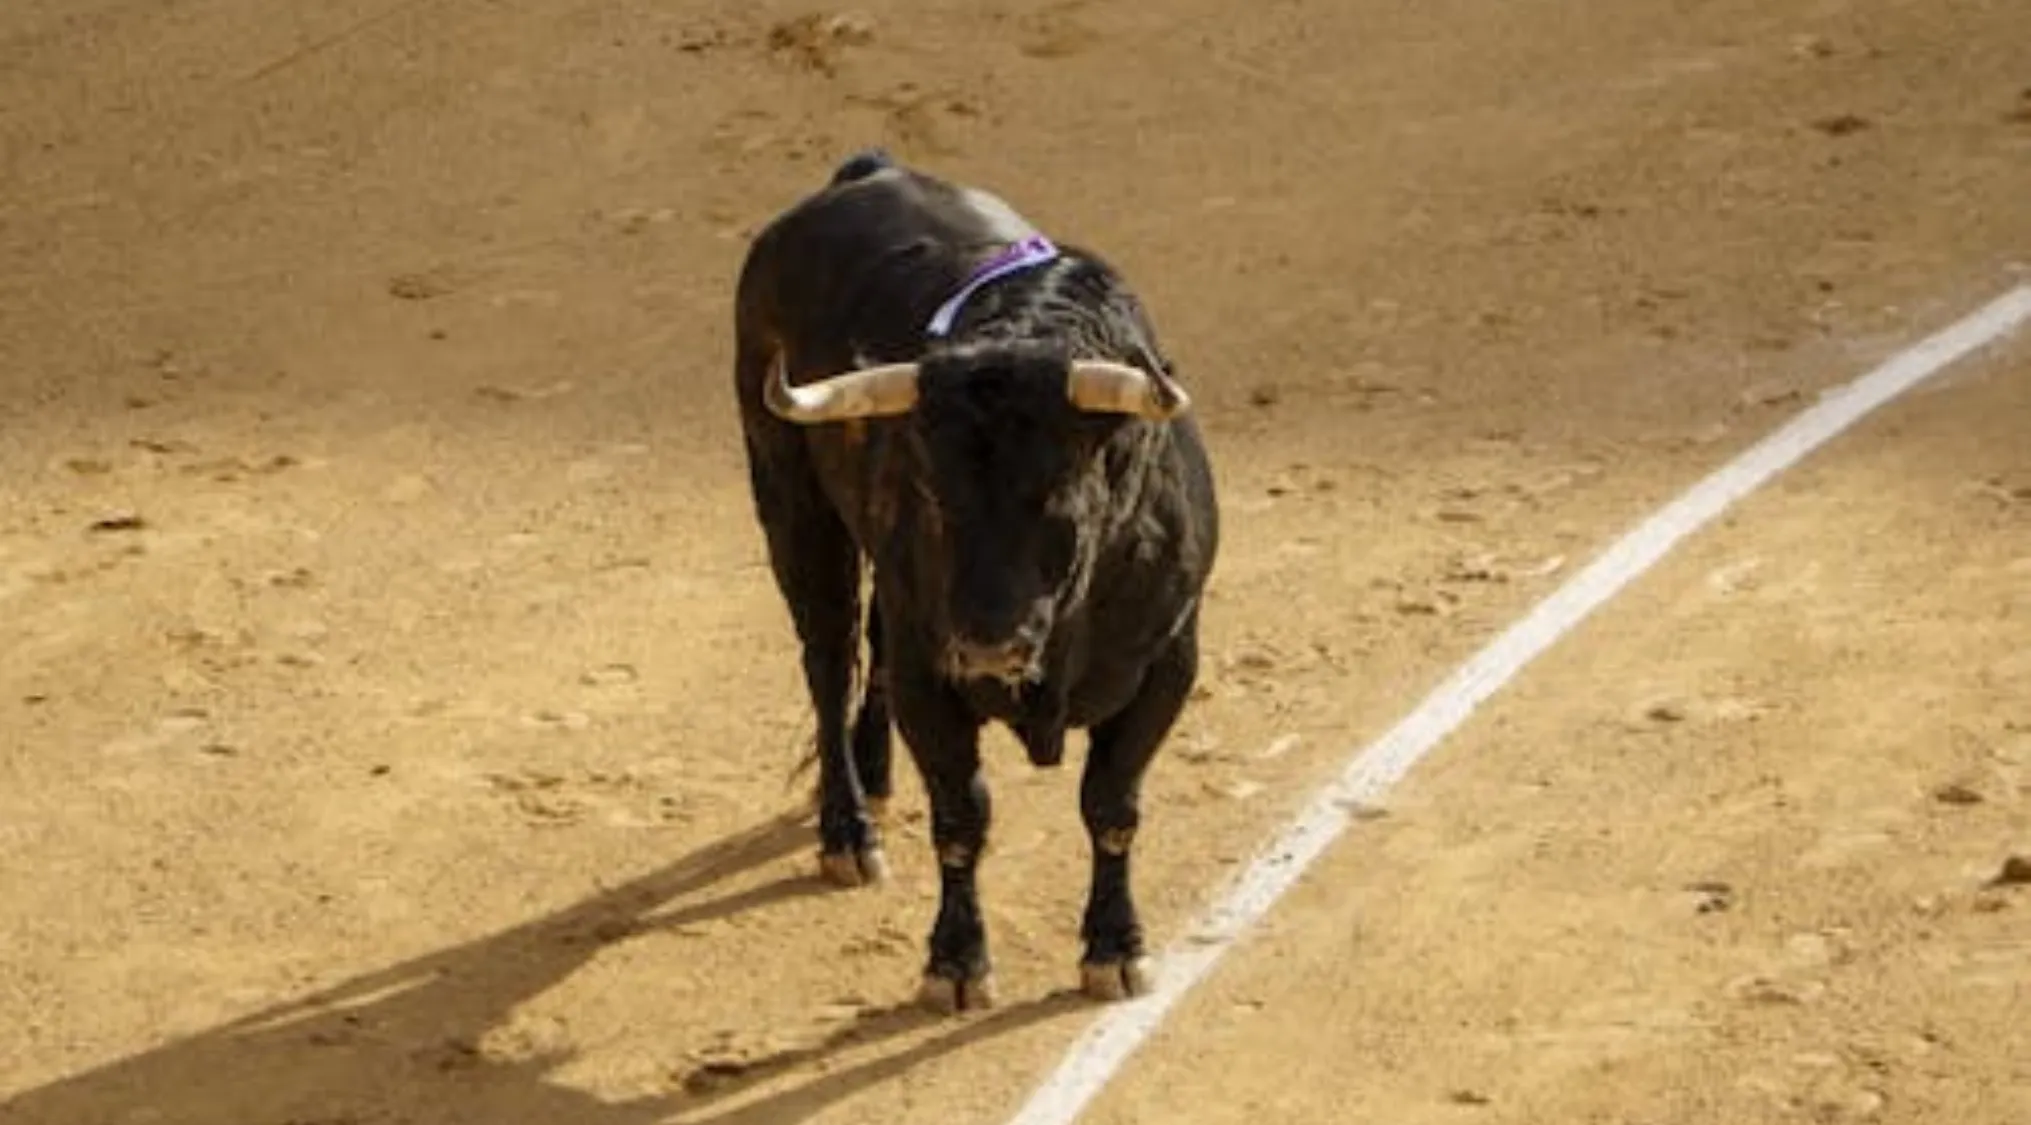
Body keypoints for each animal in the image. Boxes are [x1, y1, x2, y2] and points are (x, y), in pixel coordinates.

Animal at [730, 149, 1220, 1012]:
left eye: (1058, 491)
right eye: (931, 491)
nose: (989, 644)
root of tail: (863, 174)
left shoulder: (1168, 661)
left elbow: (1111, 804)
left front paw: (1115, 948)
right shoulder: (934, 676)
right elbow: (961, 817)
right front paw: (955, 963)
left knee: (871, 648)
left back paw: (877, 774)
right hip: (790, 497)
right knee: (828, 657)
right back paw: (848, 829)